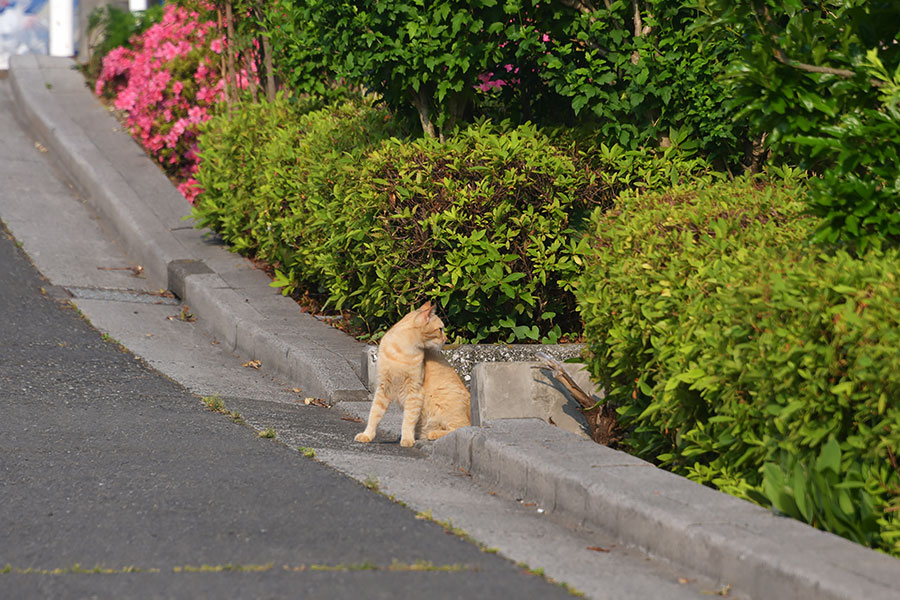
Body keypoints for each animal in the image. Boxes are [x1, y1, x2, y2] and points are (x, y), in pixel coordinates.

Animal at [356, 302, 474, 448]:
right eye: (440, 329)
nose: (446, 338)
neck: (401, 352)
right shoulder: (383, 387)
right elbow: (374, 414)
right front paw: (367, 435)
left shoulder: (414, 391)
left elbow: (408, 419)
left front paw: (407, 438)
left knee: (461, 427)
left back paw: (433, 433)